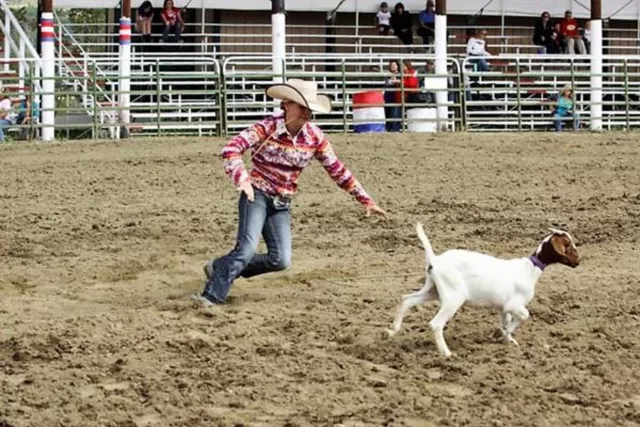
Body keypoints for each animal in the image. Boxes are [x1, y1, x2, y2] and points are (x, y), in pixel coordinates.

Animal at [384, 224, 580, 358]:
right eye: (568, 245)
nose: (578, 262)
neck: (530, 268)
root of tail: (435, 260)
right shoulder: (513, 305)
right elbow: (524, 316)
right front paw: (504, 333)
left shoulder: (503, 308)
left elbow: (506, 321)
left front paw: (508, 339)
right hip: (453, 298)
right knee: (435, 324)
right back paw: (447, 354)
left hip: (433, 291)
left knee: (407, 299)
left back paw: (392, 331)